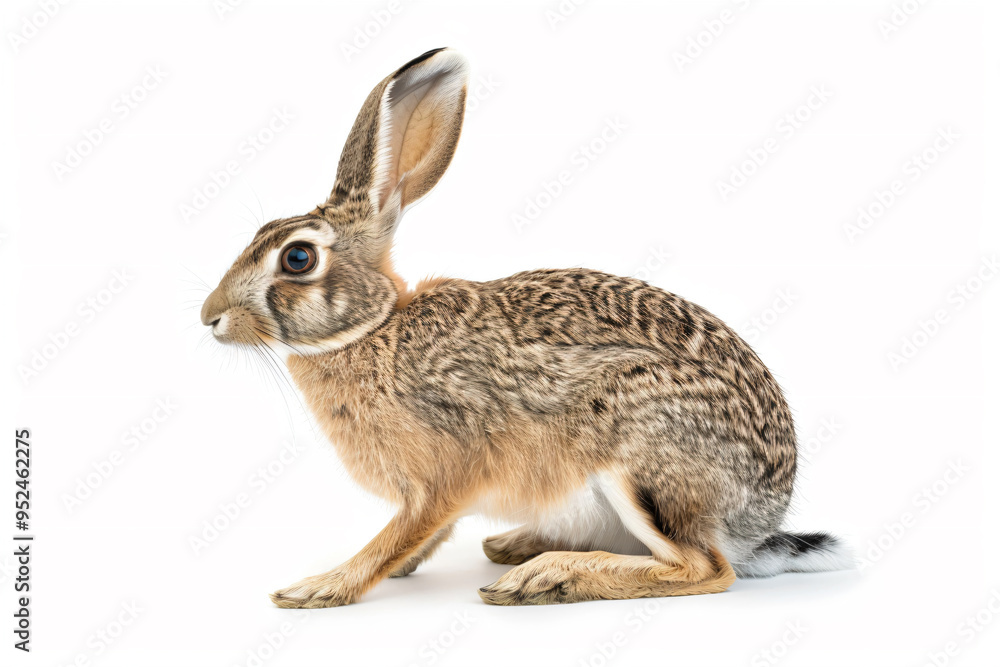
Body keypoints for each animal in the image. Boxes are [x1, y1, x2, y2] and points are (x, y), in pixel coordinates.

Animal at [200, 47, 853, 608]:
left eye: (297, 258)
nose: (210, 317)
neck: (373, 328)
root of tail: (756, 524)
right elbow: (422, 538)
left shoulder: (443, 473)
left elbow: (398, 535)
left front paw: (321, 587)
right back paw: (518, 546)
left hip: (639, 449)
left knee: (705, 568)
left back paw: (547, 577)